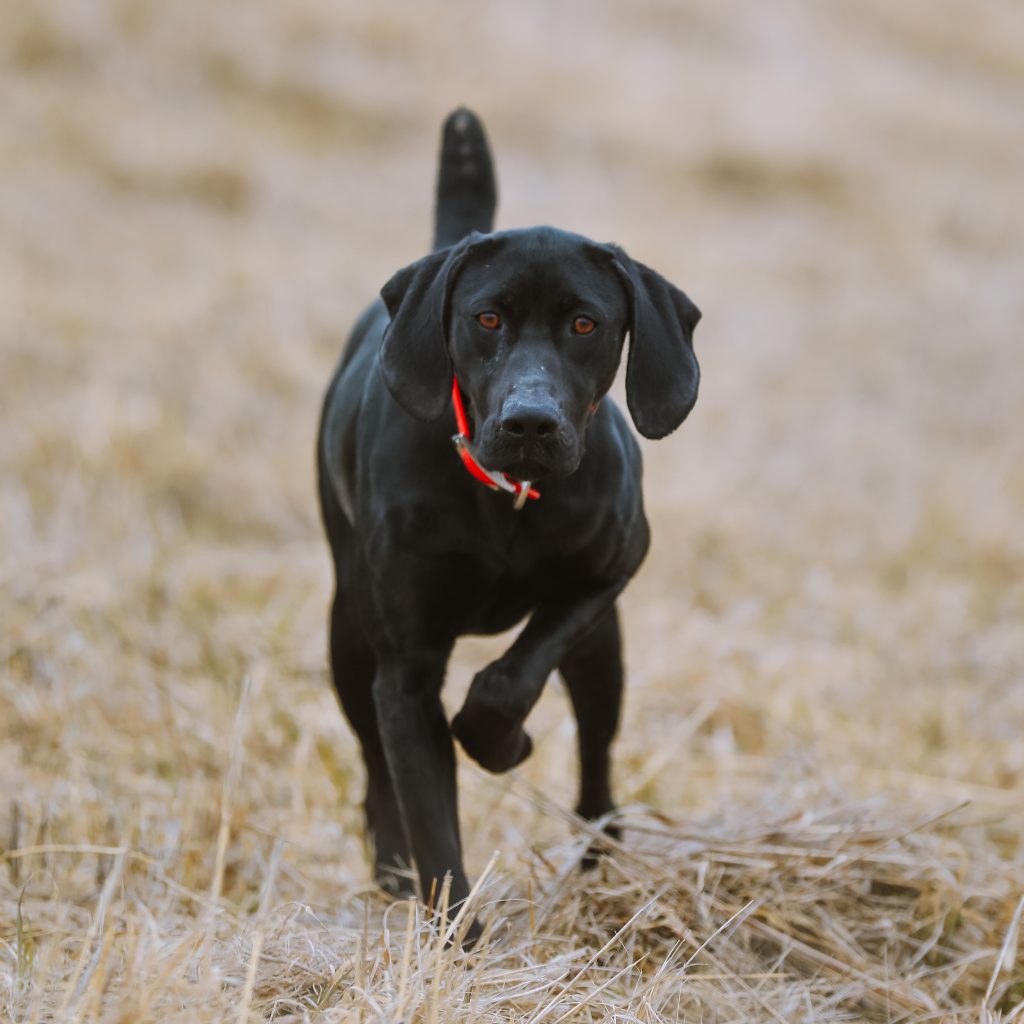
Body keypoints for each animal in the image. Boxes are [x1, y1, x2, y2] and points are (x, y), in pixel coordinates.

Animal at [317, 110, 704, 929]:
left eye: (586, 324)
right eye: (487, 317)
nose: (531, 422)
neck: (507, 503)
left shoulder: (614, 566)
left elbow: (507, 680)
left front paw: (499, 742)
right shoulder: (405, 670)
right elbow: (432, 825)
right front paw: (455, 937)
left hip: (603, 654)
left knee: (596, 758)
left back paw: (599, 860)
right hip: (347, 635)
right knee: (374, 765)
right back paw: (390, 867)